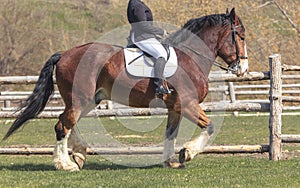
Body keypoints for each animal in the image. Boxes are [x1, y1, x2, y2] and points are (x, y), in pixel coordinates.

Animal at [2, 8, 247, 170]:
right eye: (241, 36)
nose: (242, 68)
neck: (190, 58)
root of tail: (65, 54)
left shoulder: (175, 107)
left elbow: (170, 134)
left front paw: (171, 161)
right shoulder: (188, 104)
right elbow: (210, 127)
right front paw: (187, 153)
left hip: (88, 100)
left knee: (69, 122)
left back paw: (78, 155)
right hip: (79, 98)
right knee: (63, 125)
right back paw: (65, 164)